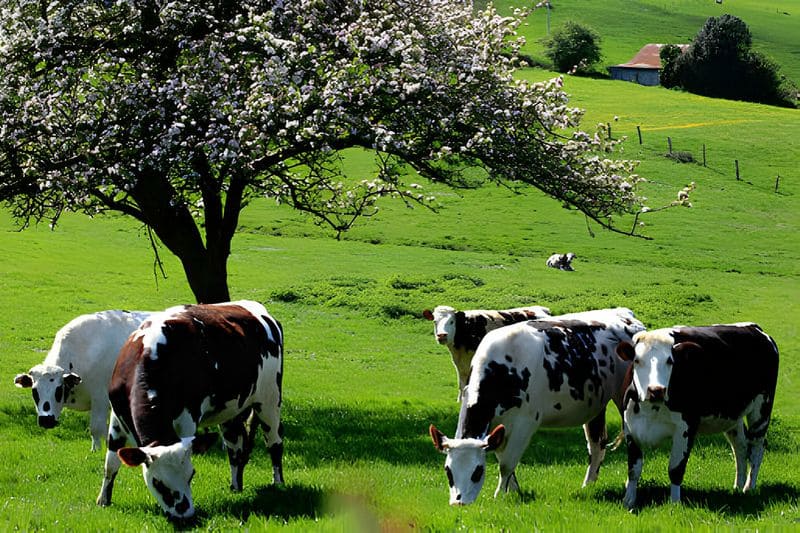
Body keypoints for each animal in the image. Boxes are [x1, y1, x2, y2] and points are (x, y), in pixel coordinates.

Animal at [13, 310, 151, 450]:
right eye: (34, 391)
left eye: (58, 390)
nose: (46, 420)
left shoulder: (100, 397)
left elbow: (97, 428)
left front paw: (97, 450)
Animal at [96, 302, 284, 516]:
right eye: (158, 483)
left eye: (191, 474)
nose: (184, 512)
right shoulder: (117, 417)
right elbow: (111, 462)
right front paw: (103, 500)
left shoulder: (188, 418)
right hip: (231, 411)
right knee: (235, 446)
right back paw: (235, 487)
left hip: (269, 399)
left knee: (274, 443)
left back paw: (278, 484)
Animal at [616, 322, 780, 510]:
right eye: (637, 360)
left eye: (670, 361)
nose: (656, 390)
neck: (651, 408)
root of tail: (754, 328)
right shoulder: (630, 427)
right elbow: (633, 469)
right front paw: (628, 501)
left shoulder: (686, 428)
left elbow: (675, 469)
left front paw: (674, 503)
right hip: (732, 417)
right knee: (740, 447)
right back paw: (738, 487)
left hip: (762, 409)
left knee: (756, 448)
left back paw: (749, 488)